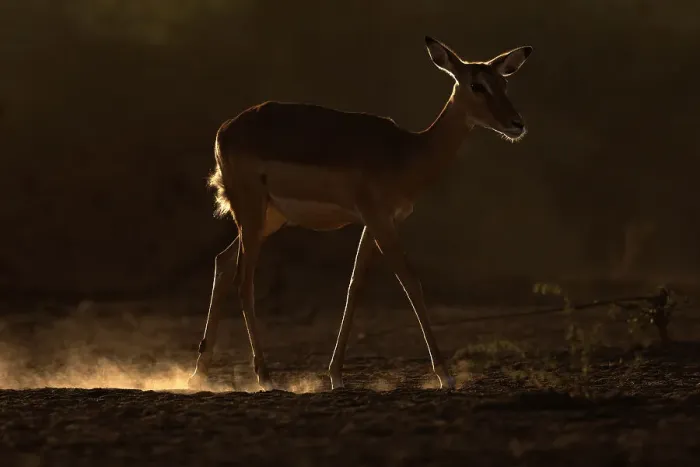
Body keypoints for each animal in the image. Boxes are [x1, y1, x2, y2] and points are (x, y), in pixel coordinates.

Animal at [189, 36, 533, 391]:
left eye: (504, 82)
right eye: (477, 85)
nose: (516, 124)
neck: (406, 153)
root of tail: (225, 130)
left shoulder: (375, 221)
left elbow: (355, 286)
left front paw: (336, 375)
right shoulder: (380, 219)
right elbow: (411, 282)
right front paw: (445, 375)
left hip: (268, 218)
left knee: (223, 263)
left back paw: (198, 373)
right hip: (252, 212)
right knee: (244, 279)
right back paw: (265, 377)